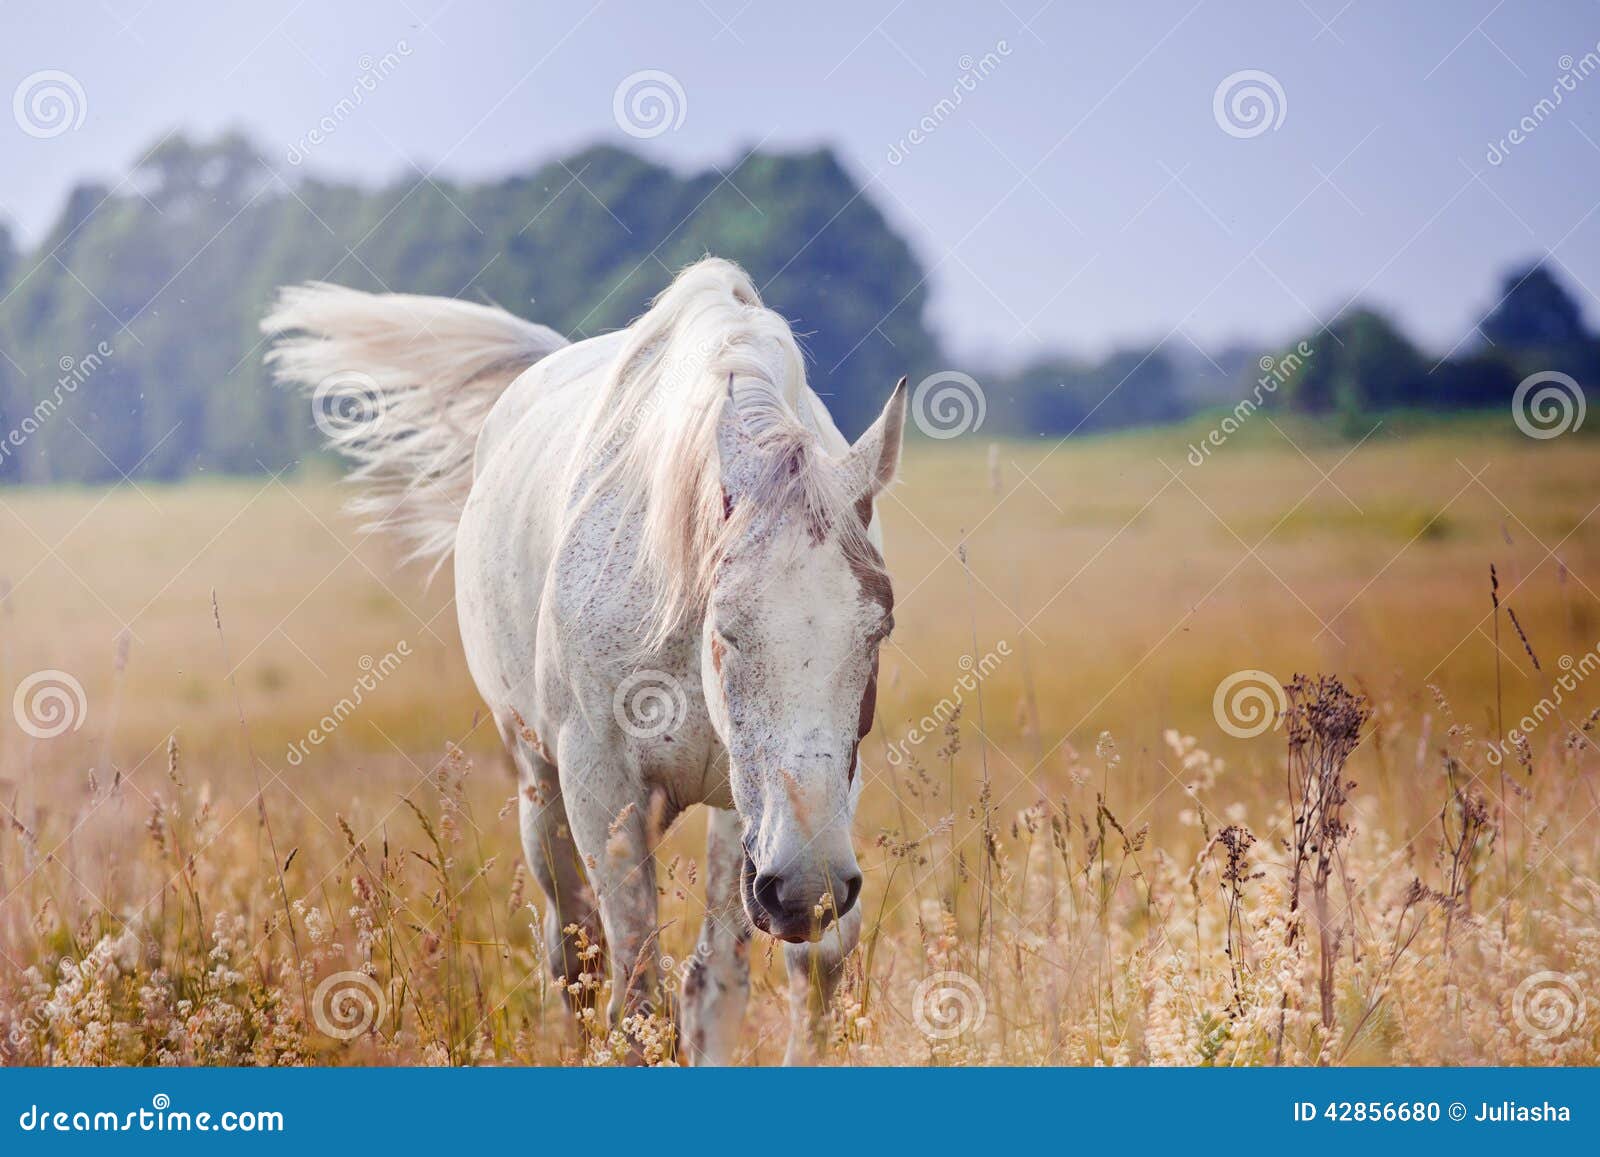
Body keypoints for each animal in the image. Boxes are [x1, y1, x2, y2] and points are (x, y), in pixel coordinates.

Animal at [268, 257, 908, 1062]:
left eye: (877, 632)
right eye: (728, 631)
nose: (803, 887)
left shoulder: (796, 805)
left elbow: (785, 971)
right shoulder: (603, 787)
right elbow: (634, 996)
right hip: (542, 790)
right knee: (575, 959)